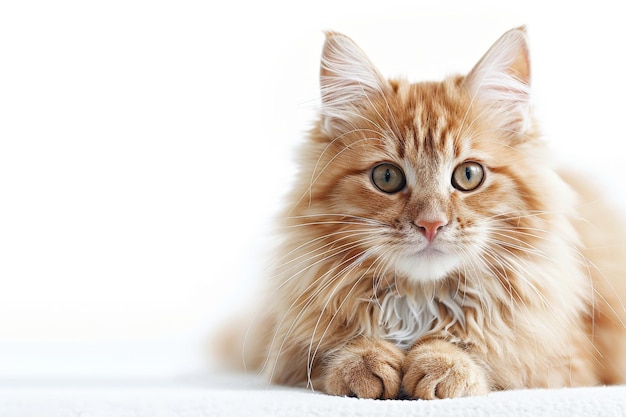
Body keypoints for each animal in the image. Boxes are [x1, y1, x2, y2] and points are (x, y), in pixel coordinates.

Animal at [233, 26, 624, 400]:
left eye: (469, 175)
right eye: (386, 177)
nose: (431, 224)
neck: (419, 302)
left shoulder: (568, 361)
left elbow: (497, 355)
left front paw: (443, 361)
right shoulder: (283, 352)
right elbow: (327, 357)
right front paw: (366, 359)